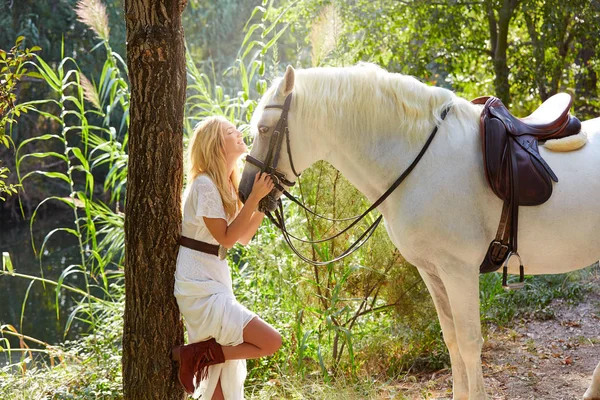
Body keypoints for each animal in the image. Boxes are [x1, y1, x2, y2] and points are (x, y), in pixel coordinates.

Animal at [239, 64, 600, 398]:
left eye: (265, 128)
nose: (245, 192)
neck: (419, 164)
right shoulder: (433, 271)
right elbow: (451, 339)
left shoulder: (459, 270)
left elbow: (469, 342)